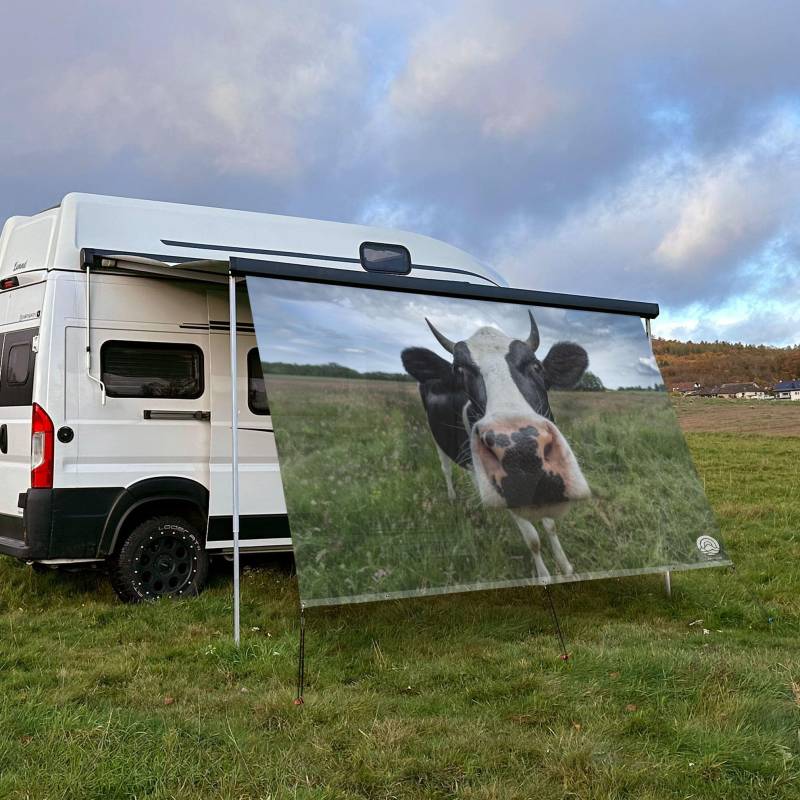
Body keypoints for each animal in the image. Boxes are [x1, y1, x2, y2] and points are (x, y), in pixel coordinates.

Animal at [404, 310, 592, 580]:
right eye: (459, 370)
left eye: (536, 365)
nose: (523, 453)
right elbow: (533, 539)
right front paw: (544, 576)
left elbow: (550, 526)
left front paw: (565, 567)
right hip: (437, 439)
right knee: (446, 468)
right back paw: (452, 496)